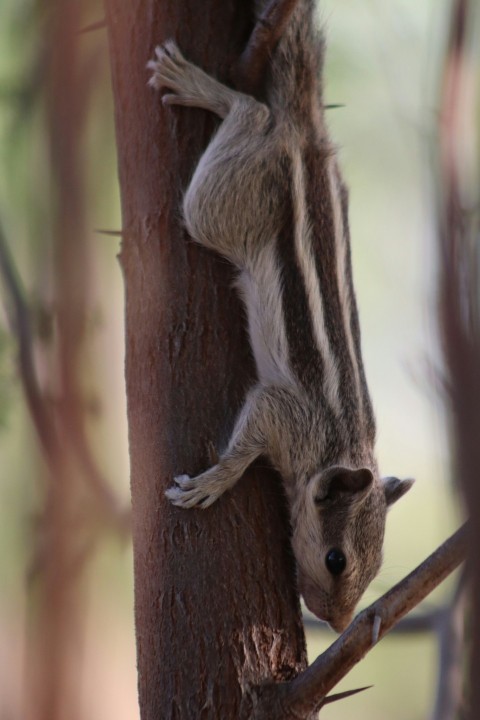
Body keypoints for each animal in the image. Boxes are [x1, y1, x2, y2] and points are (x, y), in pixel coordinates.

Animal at [146, 0, 412, 632]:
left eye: (376, 568)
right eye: (337, 559)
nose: (338, 626)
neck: (341, 446)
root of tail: (309, 135)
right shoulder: (284, 413)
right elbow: (246, 443)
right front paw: (214, 482)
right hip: (220, 206)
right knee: (255, 111)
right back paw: (206, 89)